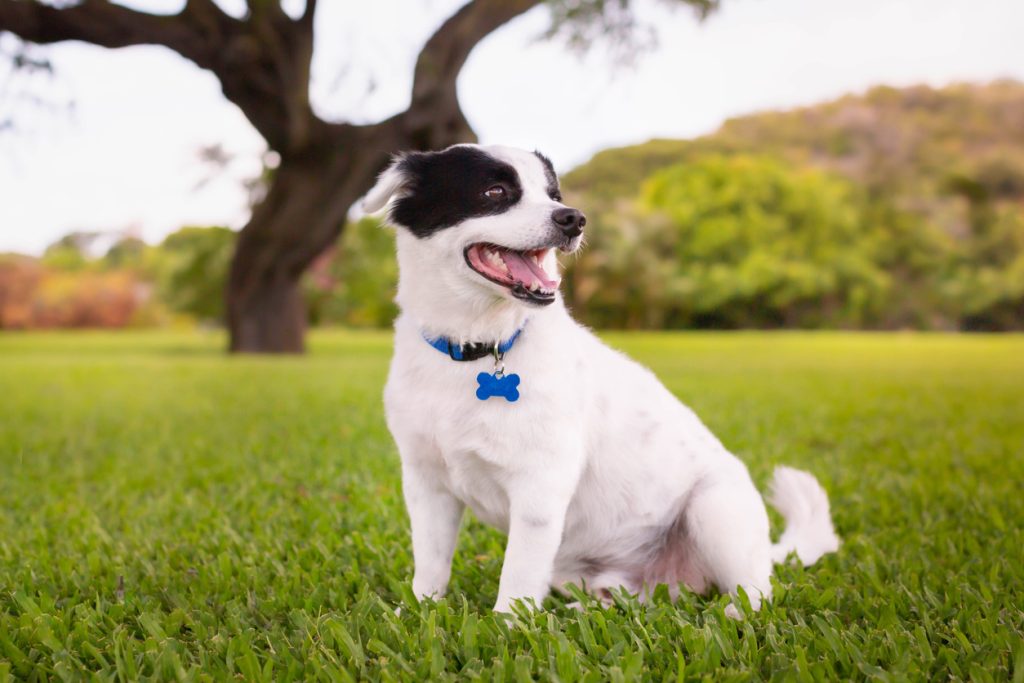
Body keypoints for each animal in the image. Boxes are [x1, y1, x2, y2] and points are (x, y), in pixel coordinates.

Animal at [362, 143, 839, 614]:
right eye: (494, 191)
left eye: (554, 194)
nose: (573, 218)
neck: (476, 347)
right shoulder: (427, 485)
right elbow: (431, 564)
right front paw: (421, 609)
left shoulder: (539, 489)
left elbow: (517, 581)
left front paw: (505, 626)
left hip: (714, 510)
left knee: (757, 593)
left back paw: (735, 613)